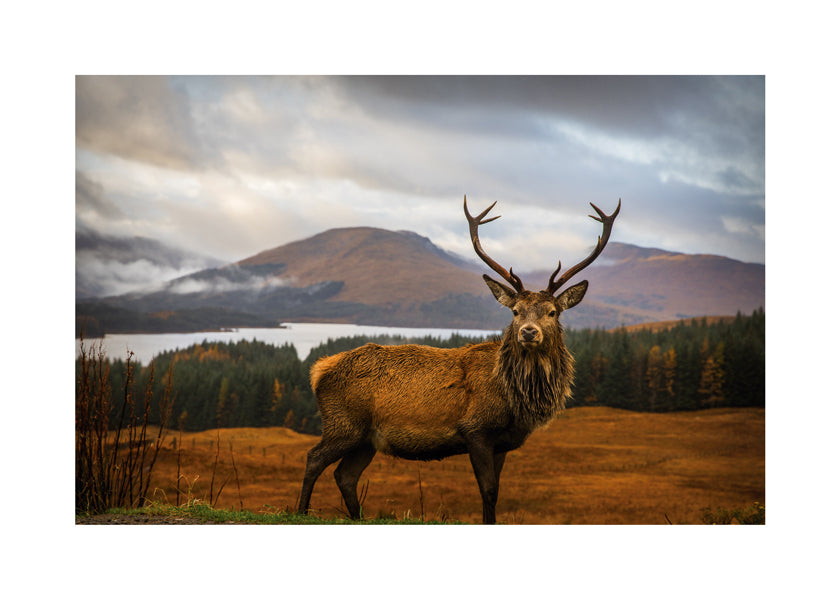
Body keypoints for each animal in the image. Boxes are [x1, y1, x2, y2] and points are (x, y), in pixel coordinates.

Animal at [297, 195, 620, 523]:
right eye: (515, 311)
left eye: (553, 312)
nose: (529, 332)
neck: (515, 401)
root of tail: (319, 369)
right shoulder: (475, 429)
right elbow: (488, 490)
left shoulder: (502, 443)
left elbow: (496, 491)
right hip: (343, 423)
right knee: (313, 458)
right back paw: (301, 510)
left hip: (366, 439)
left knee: (345, 476)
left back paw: (357, 517)